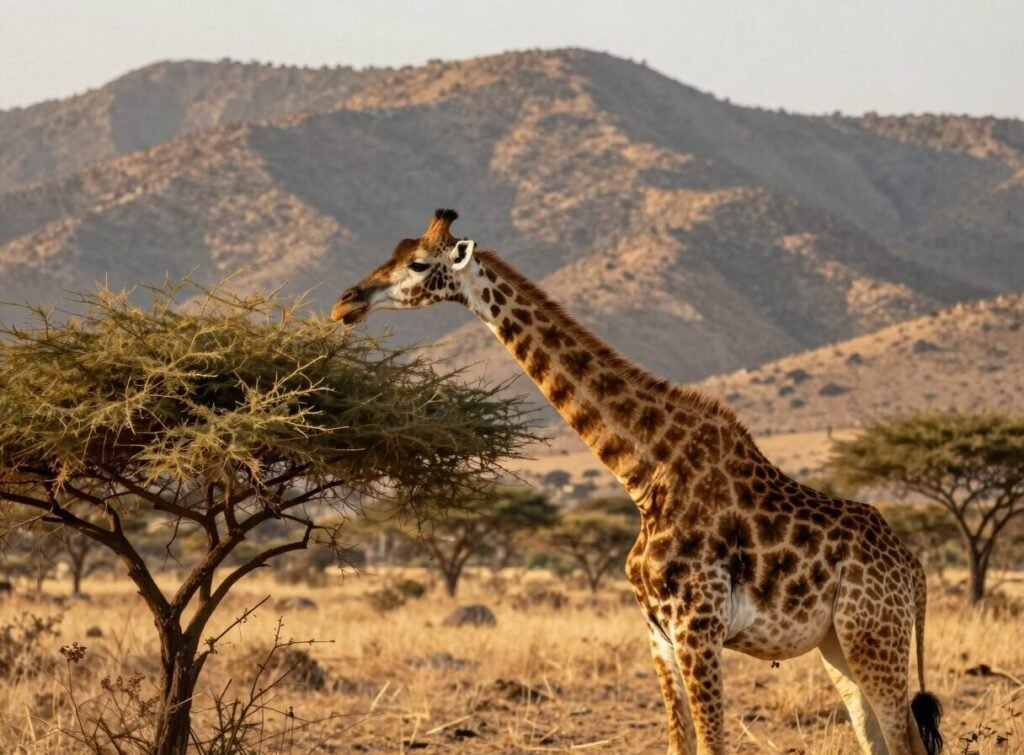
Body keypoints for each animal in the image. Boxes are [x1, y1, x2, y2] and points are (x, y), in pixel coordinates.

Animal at [331, 209, 944, 755]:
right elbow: (680, 744)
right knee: (879, 739)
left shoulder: (698, 628)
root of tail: (914, 571)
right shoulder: (658, 633)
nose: (346, 302)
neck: (646, 474)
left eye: (417, 263)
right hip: (838, 645)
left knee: (906, 741)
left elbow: (713, 746)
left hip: (875, 638)